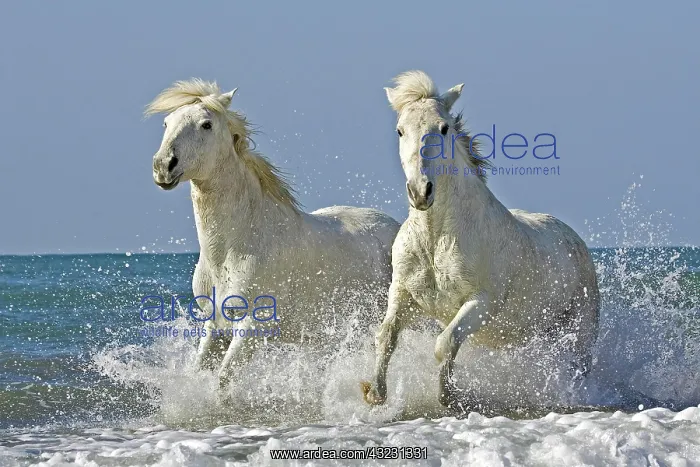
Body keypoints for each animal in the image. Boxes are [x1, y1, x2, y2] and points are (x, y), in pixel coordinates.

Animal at [146, 79, 400, 388]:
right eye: (167, 122)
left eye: (206, 124)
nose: (163, 166)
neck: (233, 249)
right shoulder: (215, 326)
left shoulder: (252, 326)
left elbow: (223, 381)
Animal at [362, 71, 600, 408]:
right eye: (400, 130)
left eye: (443, 128)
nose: (421, 192)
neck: (436, 239)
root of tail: (575, 240)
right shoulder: (403, 293)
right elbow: (386, 337)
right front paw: (375, 393)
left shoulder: (480, 302)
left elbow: (445, 343)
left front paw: (449, 396)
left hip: (580, 330)